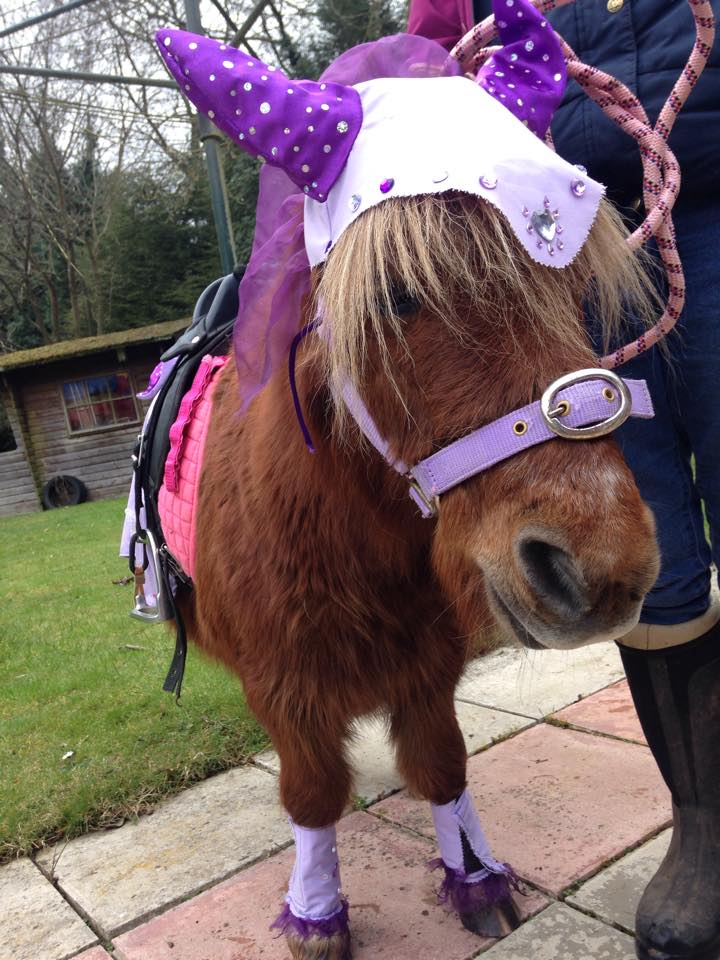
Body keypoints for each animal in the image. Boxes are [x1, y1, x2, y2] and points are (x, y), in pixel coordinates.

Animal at [152, 5, 661, 957]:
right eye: (393, 295)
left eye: (572, 282)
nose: (604, 569)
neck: (345, 524)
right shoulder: (286, 686)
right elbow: (312, 794)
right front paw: (316, 916)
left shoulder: (427, 668)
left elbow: (442, 766)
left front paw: (476, 880)